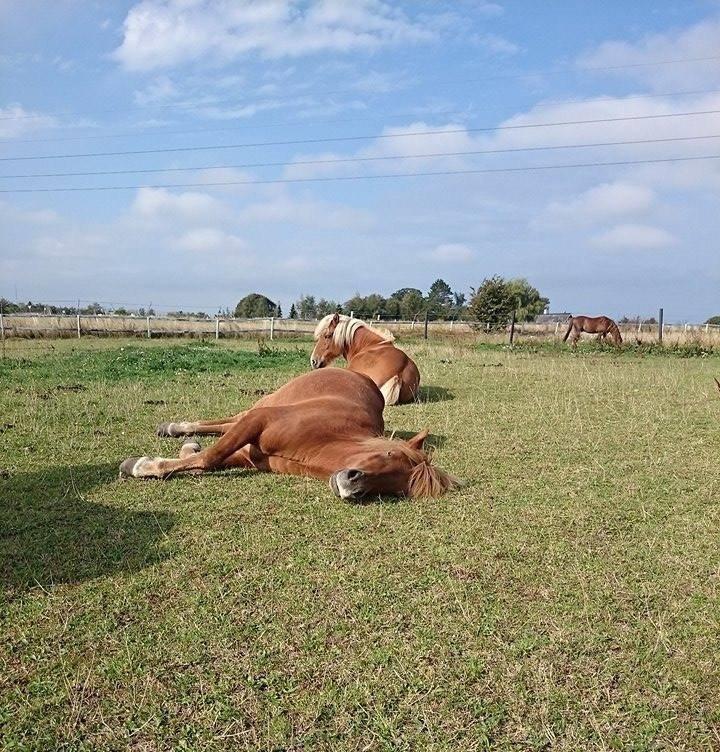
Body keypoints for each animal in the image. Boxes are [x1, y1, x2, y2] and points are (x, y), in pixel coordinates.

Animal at [117, 368, 456, 502]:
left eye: (396, 490)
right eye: (390, 453)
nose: (353, 485)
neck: (323, 439)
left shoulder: (249, 456)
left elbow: (207, 460)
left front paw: (181, 454)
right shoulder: (259, 420)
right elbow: (211, 456)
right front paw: (142, 466)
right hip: (264, 404)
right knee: (228, 419)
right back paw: (176, 428)